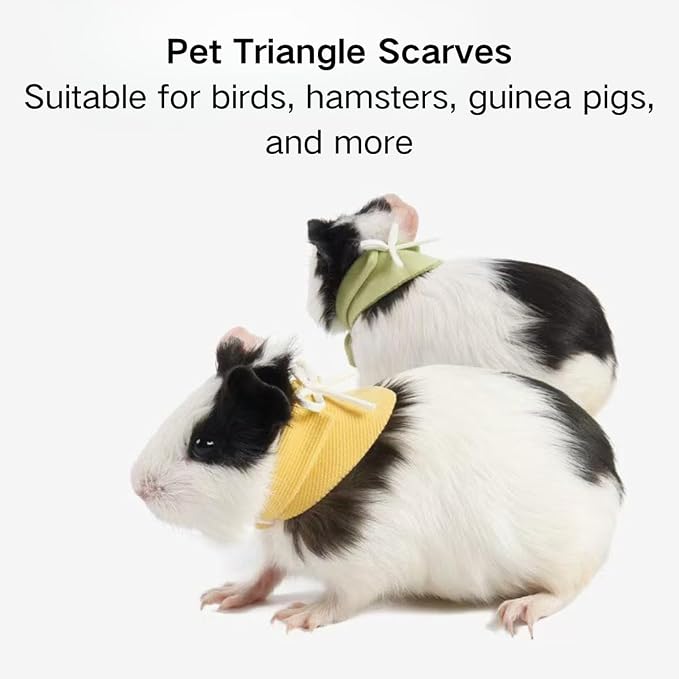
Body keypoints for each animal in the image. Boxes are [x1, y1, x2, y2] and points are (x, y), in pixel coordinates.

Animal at [131, 326, 622, 635]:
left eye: (205, 443)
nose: (138, 485)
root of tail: (611, 476)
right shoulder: (278, 543)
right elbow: (267, 572)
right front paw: (222, 596)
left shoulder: (366, 566)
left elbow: (342, 600)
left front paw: (296, 617)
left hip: (565, 564)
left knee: (564, 591)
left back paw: (517, 612)